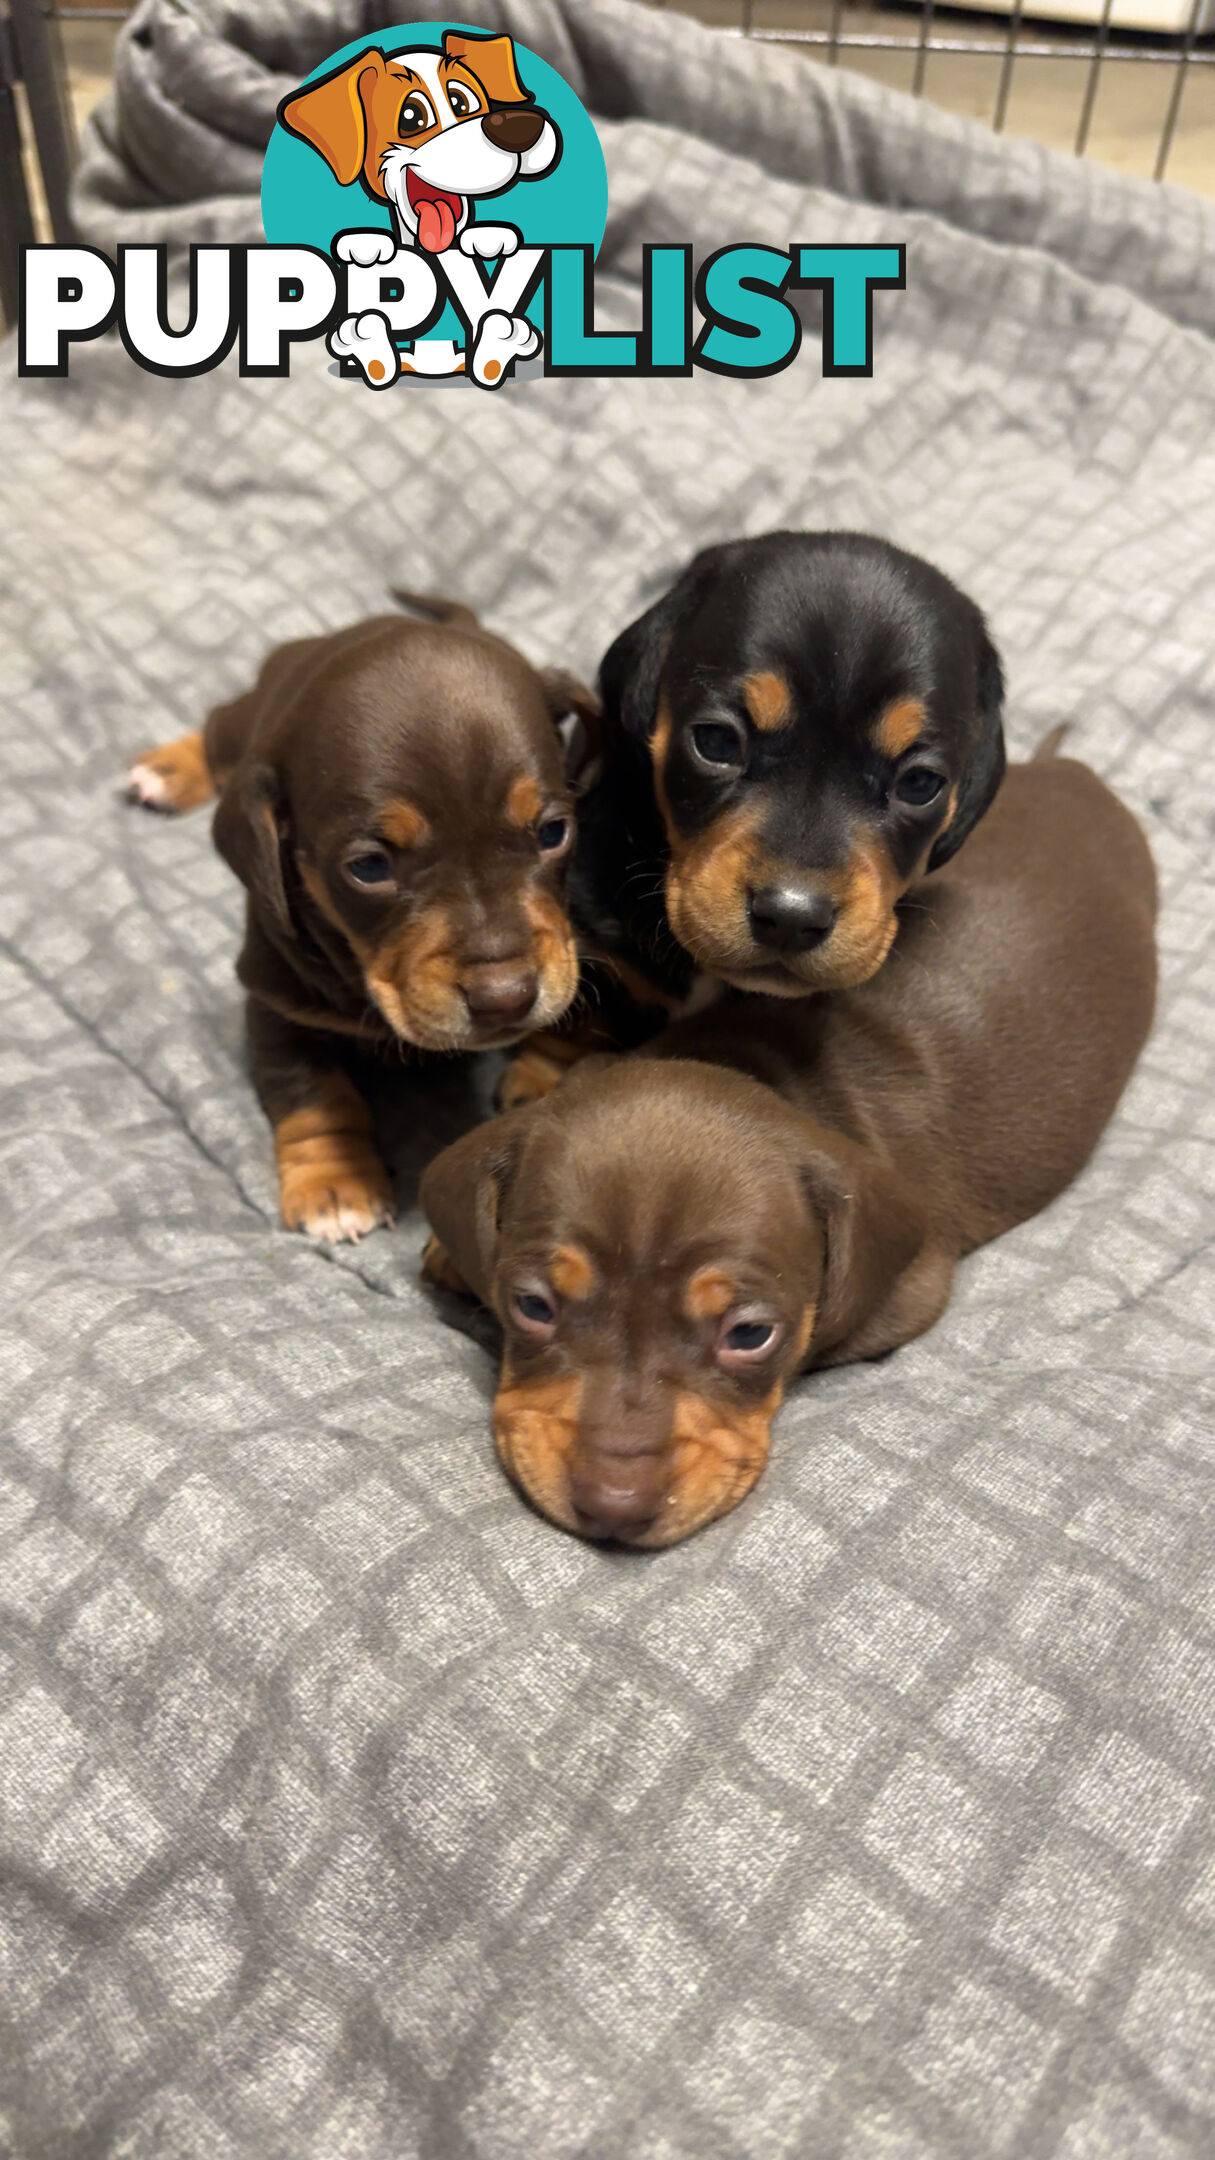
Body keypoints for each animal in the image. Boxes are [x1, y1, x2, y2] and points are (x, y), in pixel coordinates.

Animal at [421, 751, 1150, 1546]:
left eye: (750, 1335)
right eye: (531, 1305)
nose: (614, 1509)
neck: (738, 1059)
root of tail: (1078, 771)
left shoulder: (905, 1291)